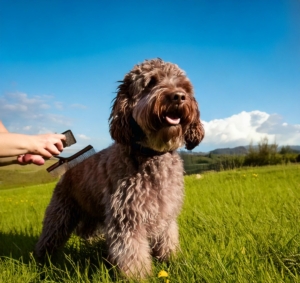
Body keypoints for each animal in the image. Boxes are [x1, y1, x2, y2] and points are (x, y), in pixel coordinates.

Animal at [34, 58, 204, 280]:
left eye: (183, 86)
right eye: (151, 82)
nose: (178, 96)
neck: (150, 154)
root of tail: (69, 165)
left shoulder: (166, 214)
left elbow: (168, 240)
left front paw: (172, 261)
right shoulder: (126, 218)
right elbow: (132, 253)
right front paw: (138, 277)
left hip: (91, 215)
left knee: (85, 232)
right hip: (60, 215)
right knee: (49, 237)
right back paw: (40, 260)